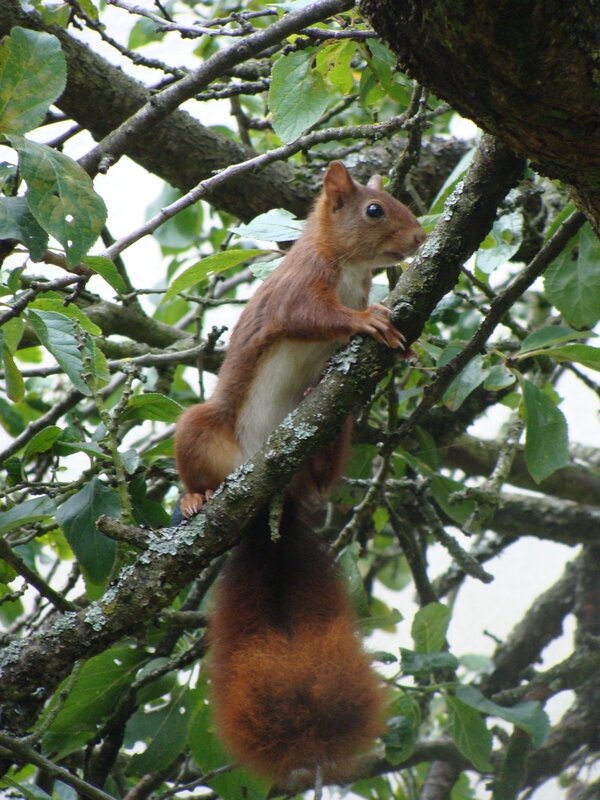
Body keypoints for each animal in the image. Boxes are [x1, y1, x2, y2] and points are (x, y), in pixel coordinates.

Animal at [176, 162, 424, 788]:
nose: (420, 237)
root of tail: (275, 497)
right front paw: (366, 320)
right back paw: (194, 498)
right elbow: (309, 317)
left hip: (334, 436)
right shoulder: (298, 289)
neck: (350, 267)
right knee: (196, 456)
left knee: (325, 463)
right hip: (204, 429)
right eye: (374, 210)